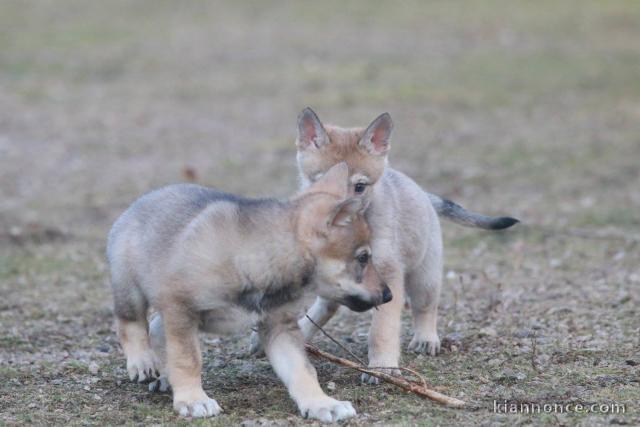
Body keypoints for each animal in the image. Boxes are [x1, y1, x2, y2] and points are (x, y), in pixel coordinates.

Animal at [106, 162, 390, 422]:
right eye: (363, 258)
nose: (389, 295)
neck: (257, 259)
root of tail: (141, 201)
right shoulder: (181, 308)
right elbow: (187, 359)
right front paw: (193, 399)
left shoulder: (278, 327)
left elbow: (302, 370)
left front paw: (321, 403)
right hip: (131, 290)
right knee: (130, 324)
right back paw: (143, 362)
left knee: (156, 327)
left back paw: (165, 377)